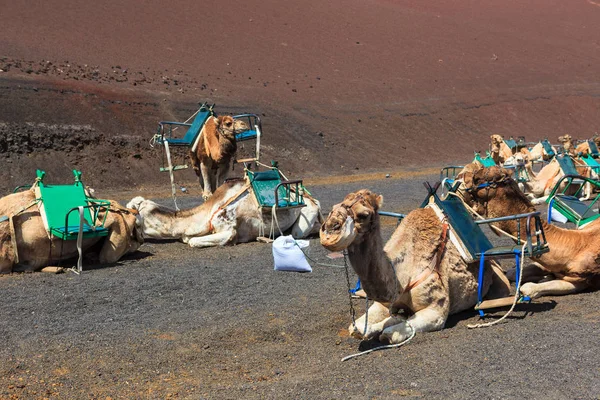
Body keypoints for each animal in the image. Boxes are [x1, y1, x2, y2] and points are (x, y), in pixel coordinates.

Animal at [127, 178, 324, 247]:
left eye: (134, 213)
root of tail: (312, 199)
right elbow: (187, 238)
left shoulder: (228, 228)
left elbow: (192, 242)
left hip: (307, 212)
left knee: (301, 231)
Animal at [322, 189, 508, 342]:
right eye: (334, 207)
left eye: (363, 214)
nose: (330, 229)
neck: (402, 276)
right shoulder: (385, 303)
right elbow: (356, 328)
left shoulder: (436, 311)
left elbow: (390, 333)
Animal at [454, 164, 600, 298]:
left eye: (477, 178)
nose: (459, 177)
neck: (574, 246)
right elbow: (513, 273)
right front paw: (543, 276)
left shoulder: (581, 280)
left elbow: (528, 288)